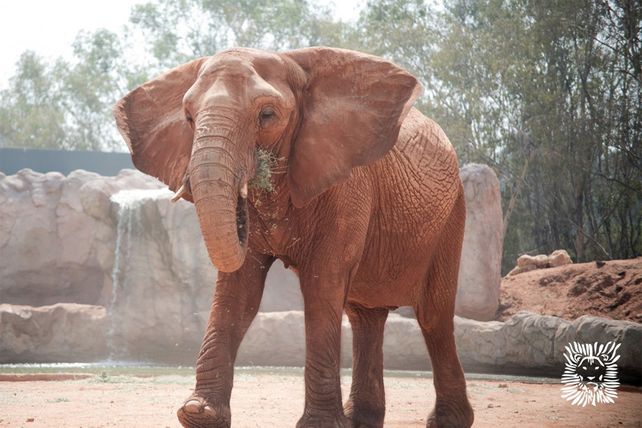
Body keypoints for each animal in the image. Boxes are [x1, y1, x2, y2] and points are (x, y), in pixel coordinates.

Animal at [114, 47, 474, 428]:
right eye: (188, 117)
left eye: (267, 115)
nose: (241, 208)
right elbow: (239, 291)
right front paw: (199, 413)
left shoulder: (347, 184)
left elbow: (322, 284)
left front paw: (320, 424)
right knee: (365, 316)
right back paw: (361, 420)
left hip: (454, 214)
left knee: (433, 315)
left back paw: (446, 421)